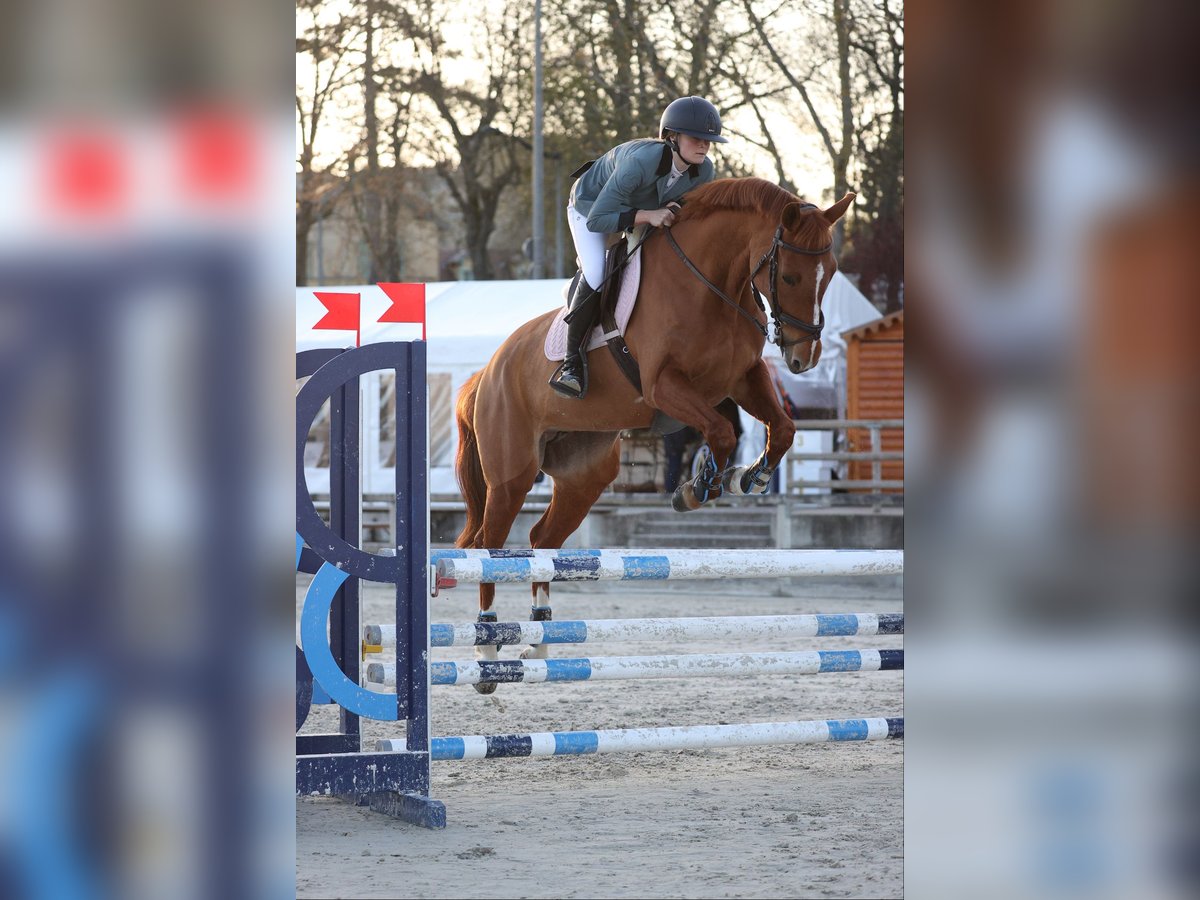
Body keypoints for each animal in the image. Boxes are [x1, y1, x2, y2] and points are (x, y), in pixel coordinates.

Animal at [451, 180, 854, 696]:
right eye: (790, 277)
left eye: (832, 274)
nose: (805, 358)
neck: (712, 282)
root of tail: (486, 373)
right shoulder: (665, 387)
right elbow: (721, 430)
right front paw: (697, 488)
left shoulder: (743, 378)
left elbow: (781, 429)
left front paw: (748, 478)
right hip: (511, 476)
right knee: (491, 547)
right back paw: (486, 650)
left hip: (584, 478)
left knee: (542, 541)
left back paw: (538, 644)